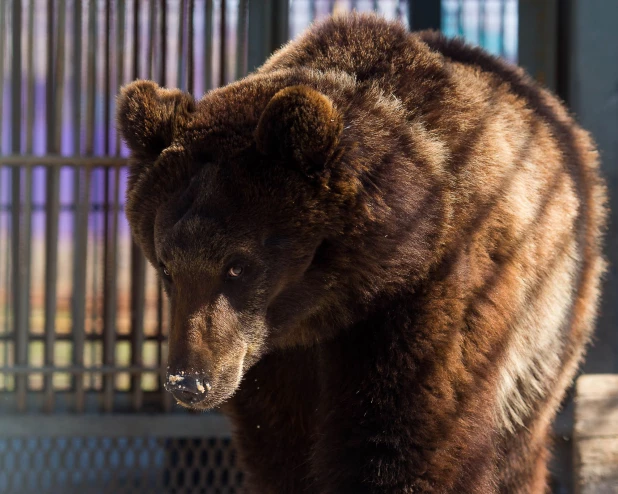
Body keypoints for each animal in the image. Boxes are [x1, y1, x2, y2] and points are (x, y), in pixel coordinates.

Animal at [115, 13, 600, 492]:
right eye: (165, 266)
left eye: (237, 266)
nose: (189, 382)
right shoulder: (273, 360)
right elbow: (282, 451)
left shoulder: (431, 291)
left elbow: (402, 440)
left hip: (550, 323)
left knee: (518, 442)